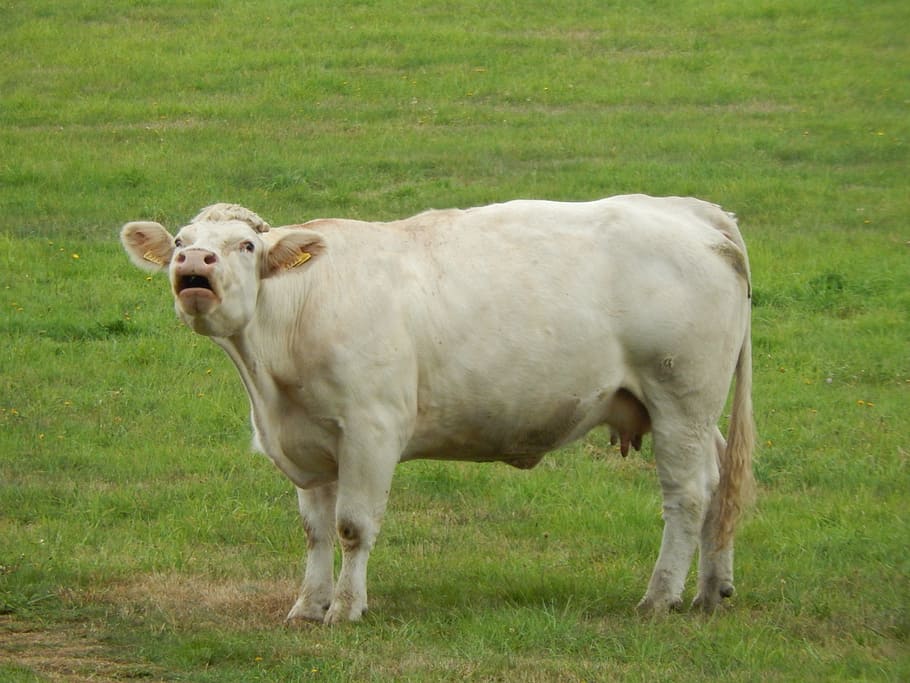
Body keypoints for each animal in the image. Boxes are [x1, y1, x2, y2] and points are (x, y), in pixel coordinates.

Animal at [120, 195, 755, 624]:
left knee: (685, 496)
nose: (195, 262)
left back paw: (658, 597)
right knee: (716, 482)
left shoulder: (372, 430)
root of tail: (691, 210)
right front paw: (307, 604)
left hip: (680, 397)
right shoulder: (309, 444)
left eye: (246, 247)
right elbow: (315, 531)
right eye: (179, 241)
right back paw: (710, 589)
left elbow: (352, 527)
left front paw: (346, 609)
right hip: (688, 413)